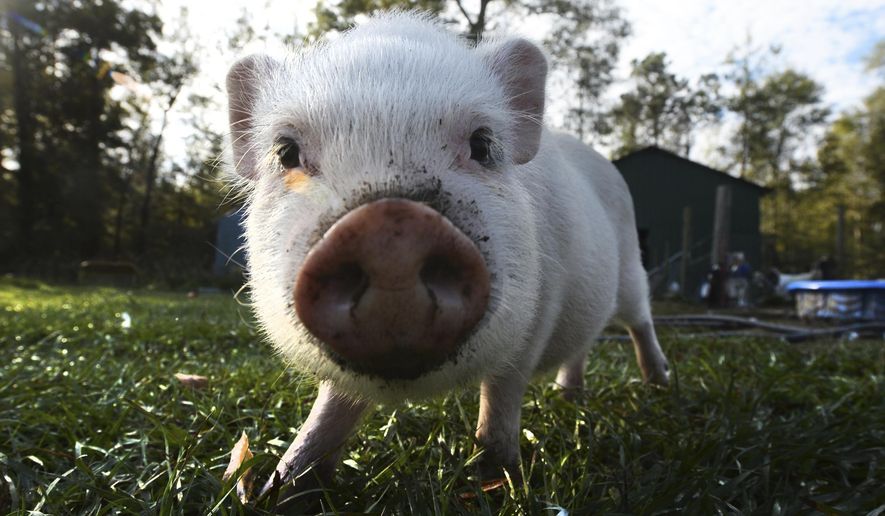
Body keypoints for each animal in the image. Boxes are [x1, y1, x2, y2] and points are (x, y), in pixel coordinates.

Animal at [225, 11, 670, 500]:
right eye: (286, 151)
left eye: (482, 144)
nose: (391, 233)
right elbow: (332, 408)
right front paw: (278, 490)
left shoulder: (539, 310)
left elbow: (502, 394)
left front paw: (500, 486)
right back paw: (569, 397)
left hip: (631, 269)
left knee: (640, 320)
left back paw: (659, 385)